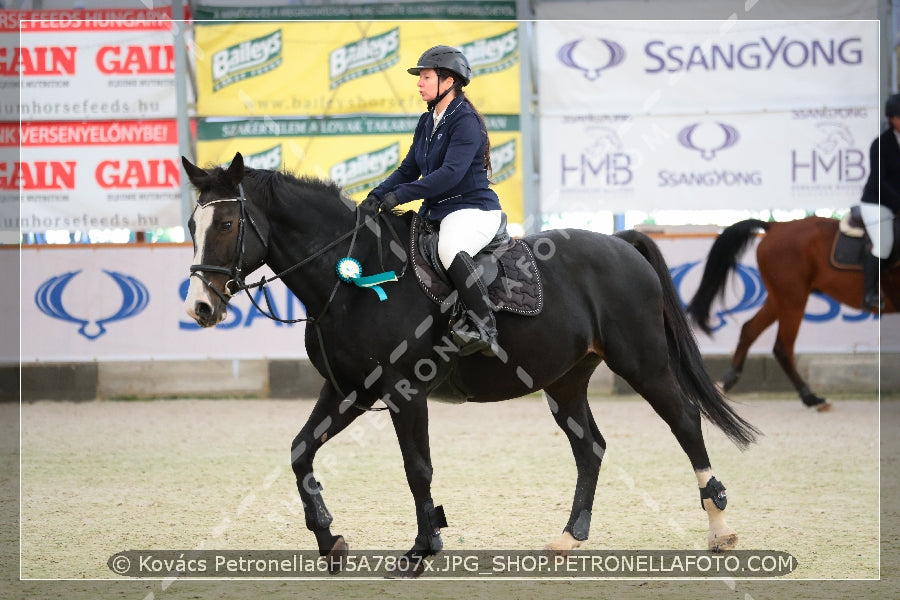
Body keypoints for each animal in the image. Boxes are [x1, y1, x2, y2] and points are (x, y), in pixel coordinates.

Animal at [179, 152, 756, 576]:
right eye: (191, 223)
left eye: (227, 222)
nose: (201, 307)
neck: (354, 279)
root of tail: (621, 242)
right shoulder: (348, 391)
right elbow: (301, 452)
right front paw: (330, 539)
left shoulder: (404, 391)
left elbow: (417, 468)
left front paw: (421, 549)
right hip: (565, 381)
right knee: (590, 447)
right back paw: (568, 539)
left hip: (643, 363)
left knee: (685, 422)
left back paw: (719, 529)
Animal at [688, 217, 892, 412]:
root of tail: (776, 226)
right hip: (792, 297)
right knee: (782, 347)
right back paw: (812, 398)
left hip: (780, 297)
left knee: (750, 328)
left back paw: (726, 382)